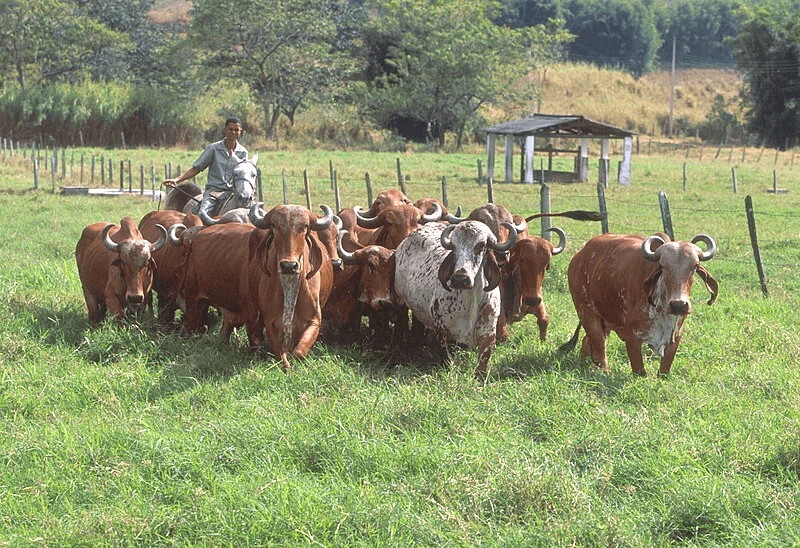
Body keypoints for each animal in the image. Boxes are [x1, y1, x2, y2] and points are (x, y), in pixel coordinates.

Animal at [246, 203, 336, 371]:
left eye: (305, 226)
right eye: (274, 226)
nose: (289, 266)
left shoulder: (314, 321)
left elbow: (299, 353)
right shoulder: (270, 322)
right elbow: (280, 354)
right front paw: (286, 365)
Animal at [394, 220, 517, 379]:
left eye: (481, 245)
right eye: (454, 246)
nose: (460, 279)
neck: (471, 303)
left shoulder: (488, 333)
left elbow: (483, 361)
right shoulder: (440, 329)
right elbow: (445, 356)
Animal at [560, 232, 718, 376]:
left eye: (695, 266)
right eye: (662, 266)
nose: (679, 305)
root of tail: (579, 255)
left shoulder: (676, 336)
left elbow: (664, 371)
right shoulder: (632, 337)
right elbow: (640, 371)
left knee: (588, 341)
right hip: (586, 313)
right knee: (599, 346)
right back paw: (603, 371)